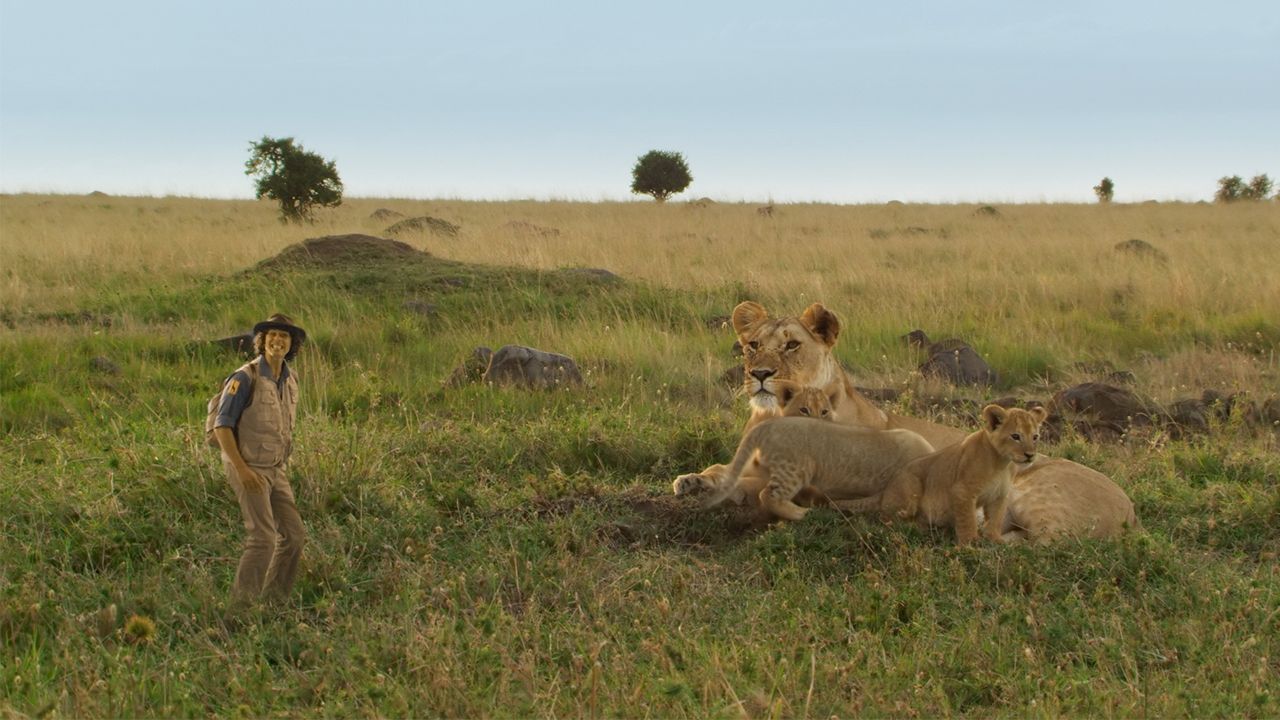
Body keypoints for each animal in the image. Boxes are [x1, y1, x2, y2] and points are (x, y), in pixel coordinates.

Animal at [844, 405, 1048, 544]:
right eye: (1016, 436)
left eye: (1035, 437)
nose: (1030, 455)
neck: (1002, 463)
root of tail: (884, 491)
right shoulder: (963, 491)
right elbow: (968, 520)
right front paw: (970, 545)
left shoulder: (998, 497)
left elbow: (995, 520)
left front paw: (995, 541)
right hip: (910, 486)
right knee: (887, 520)